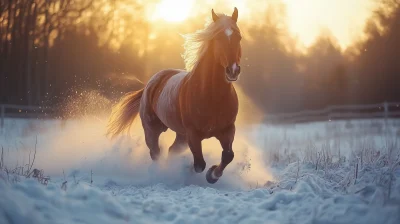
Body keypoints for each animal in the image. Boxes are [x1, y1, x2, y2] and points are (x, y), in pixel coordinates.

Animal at [106, 7, 242, 184]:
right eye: (218, 37)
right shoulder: (193, 134)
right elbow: (199, 164)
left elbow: (227, 156)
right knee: (156, 153)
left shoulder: (227, 130)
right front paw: (191, 170)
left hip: (181, 136)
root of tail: (150, 84)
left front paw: (212, 175)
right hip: (152, 129)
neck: (211, 95)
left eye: (239, 37)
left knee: (171, 150)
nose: (233, 70)